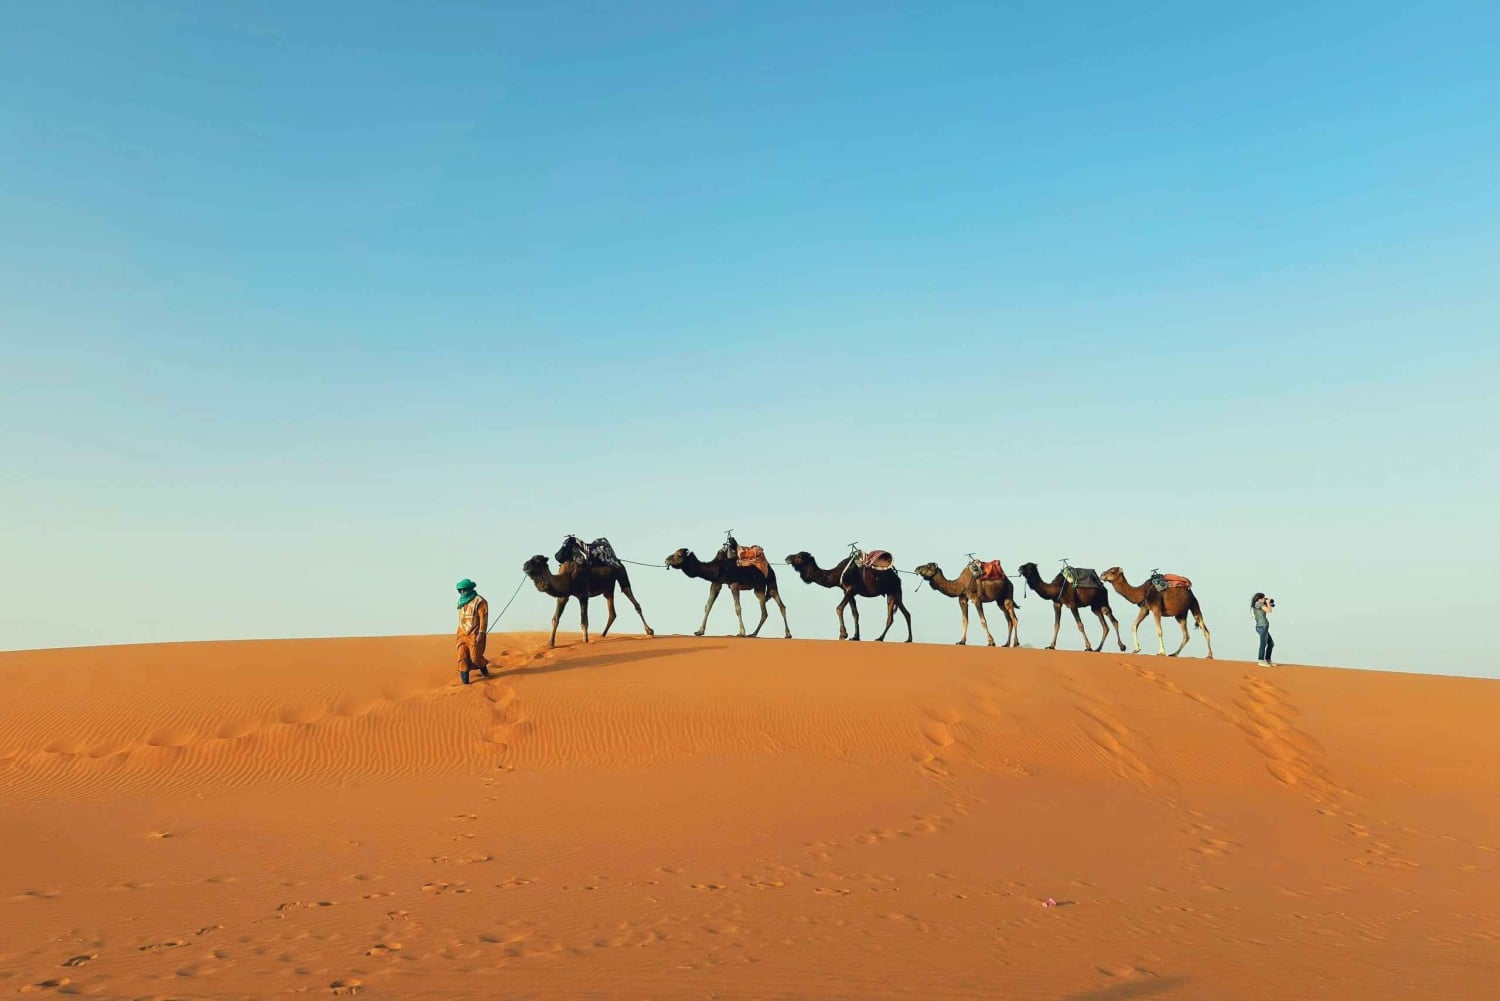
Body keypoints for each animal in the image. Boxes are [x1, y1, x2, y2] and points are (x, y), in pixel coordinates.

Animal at [521, 555, 654, 648]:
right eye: (531, 558)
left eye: (537, 560)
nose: (525, 565)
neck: (568, 577)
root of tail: (618, 560)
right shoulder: (563, 596)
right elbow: (555, 618)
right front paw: (550, 643)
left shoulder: (583, 595)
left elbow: (584, 621)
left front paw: (585, 641)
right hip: (608, 589)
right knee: (612, 612)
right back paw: (602, 635)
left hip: (622, 573)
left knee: (631, 597)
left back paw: (649, 631)